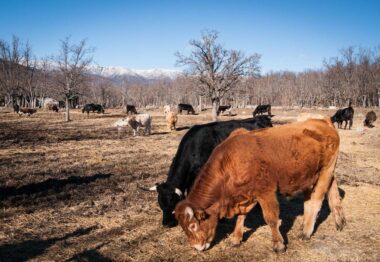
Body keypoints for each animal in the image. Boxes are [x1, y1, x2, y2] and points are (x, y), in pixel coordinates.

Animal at [174, 118, 346, 252]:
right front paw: (236, 239)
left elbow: (271, 219)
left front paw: (278, 245)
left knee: (316, 201)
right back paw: (339, 221)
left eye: (192, 226)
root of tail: (322, 121)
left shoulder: (266, 192)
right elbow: (241, 216)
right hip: (319, 174)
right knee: (331, 191)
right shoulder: (245, 195)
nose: (196, 247)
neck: (230, 161)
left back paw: (306, 232)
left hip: (325, 171)